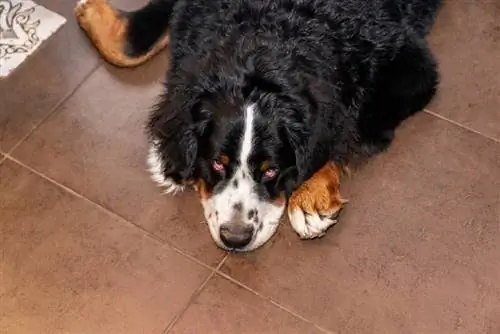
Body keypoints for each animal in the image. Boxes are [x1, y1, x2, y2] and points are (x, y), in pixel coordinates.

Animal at [73, 0, 442, 250]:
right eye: (217, 163)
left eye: (271, 170)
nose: (235, 237)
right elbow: (131, 48)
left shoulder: (410, 66)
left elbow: (348, 129)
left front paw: (310, 197)